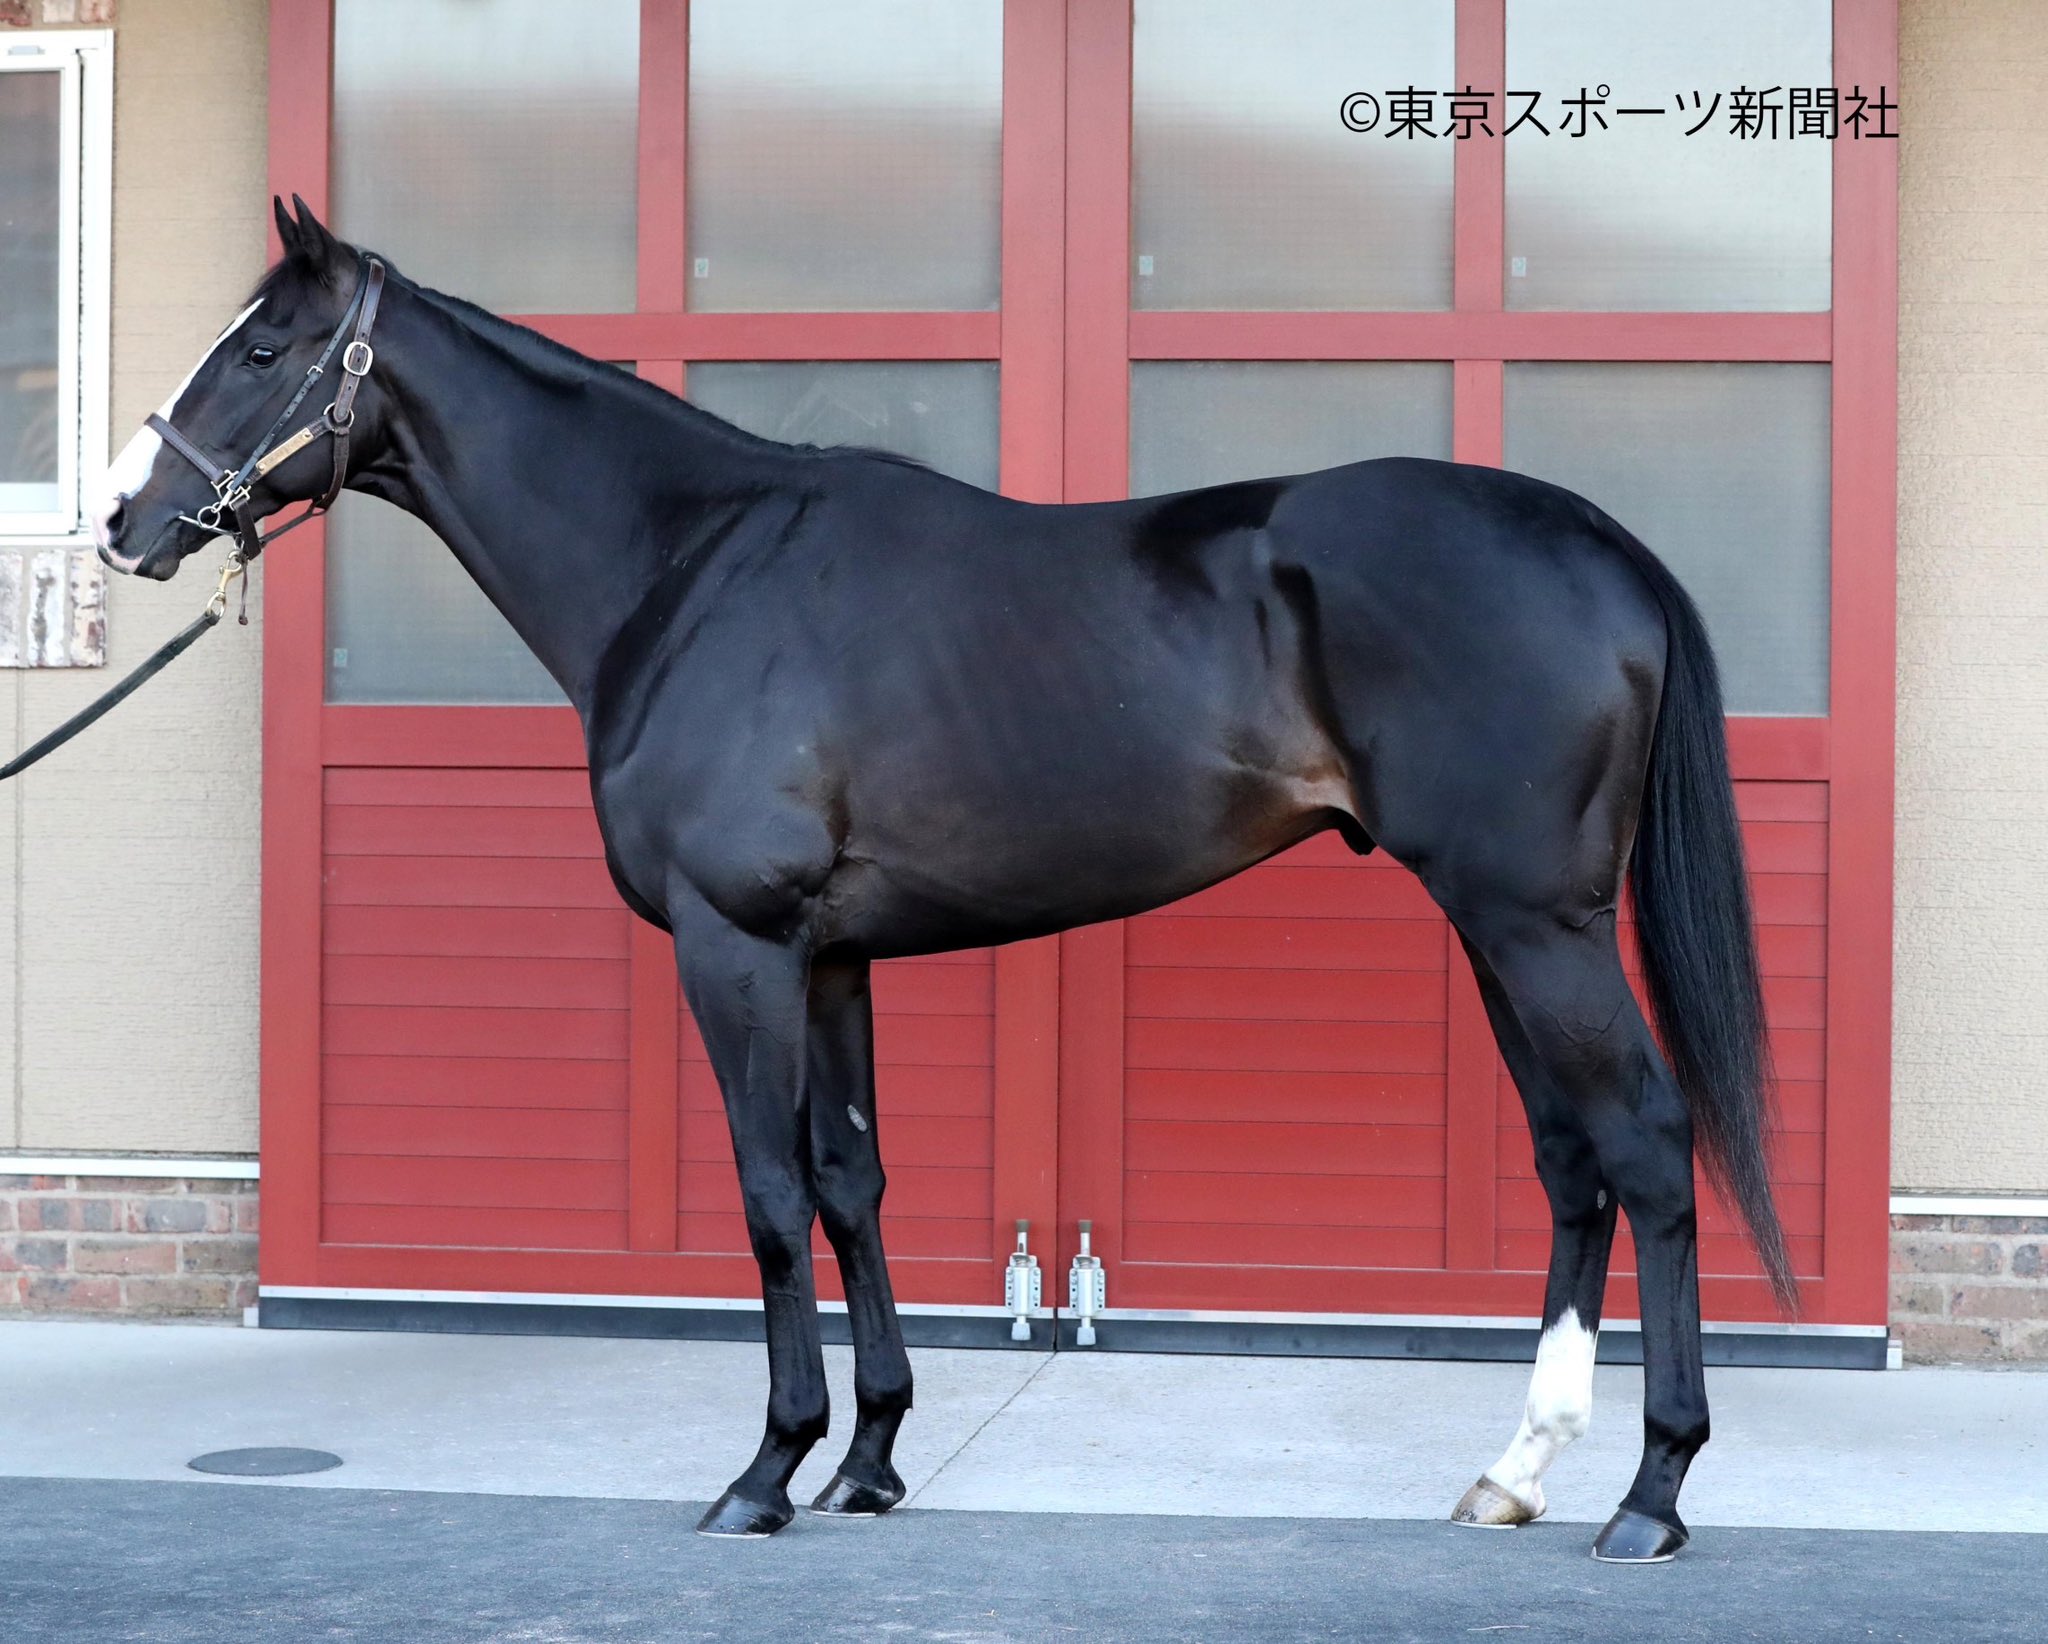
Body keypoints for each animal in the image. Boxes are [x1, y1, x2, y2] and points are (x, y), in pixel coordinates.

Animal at [92, 197, 1793, 1563]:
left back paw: (1652, 1497)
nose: (120, 521)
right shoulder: (832, 959)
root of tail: (1598, 540)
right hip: (1505, 930)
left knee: (1646, 1150)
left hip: (1536, 925)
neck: (691, 567)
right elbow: (852, 1187)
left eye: (261, 349)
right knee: (1574, 1165)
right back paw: (1517, 1475)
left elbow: (773, 1199)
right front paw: (869, 1461)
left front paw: (765, 1474)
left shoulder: (736, 947)